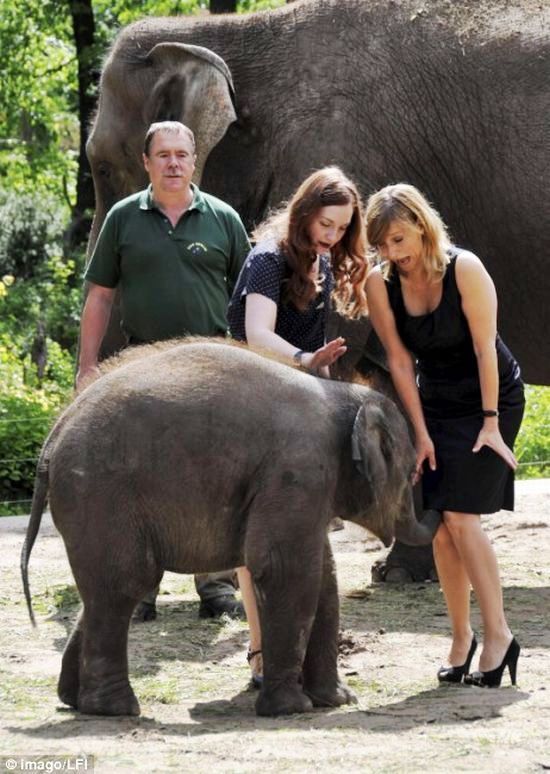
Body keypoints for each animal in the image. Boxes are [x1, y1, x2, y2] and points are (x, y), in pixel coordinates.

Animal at [21, 340, 440, 717]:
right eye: (412, 474)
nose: (440, 494)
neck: (343, 395)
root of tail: (52, 437)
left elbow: (324, 576)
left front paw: (338, 701)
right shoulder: (298, 470)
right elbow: (284, 568)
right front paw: (291, 709)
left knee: (101, 592)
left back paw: (74, 700)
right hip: (101, 494)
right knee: (127, 582)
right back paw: (117, 709)